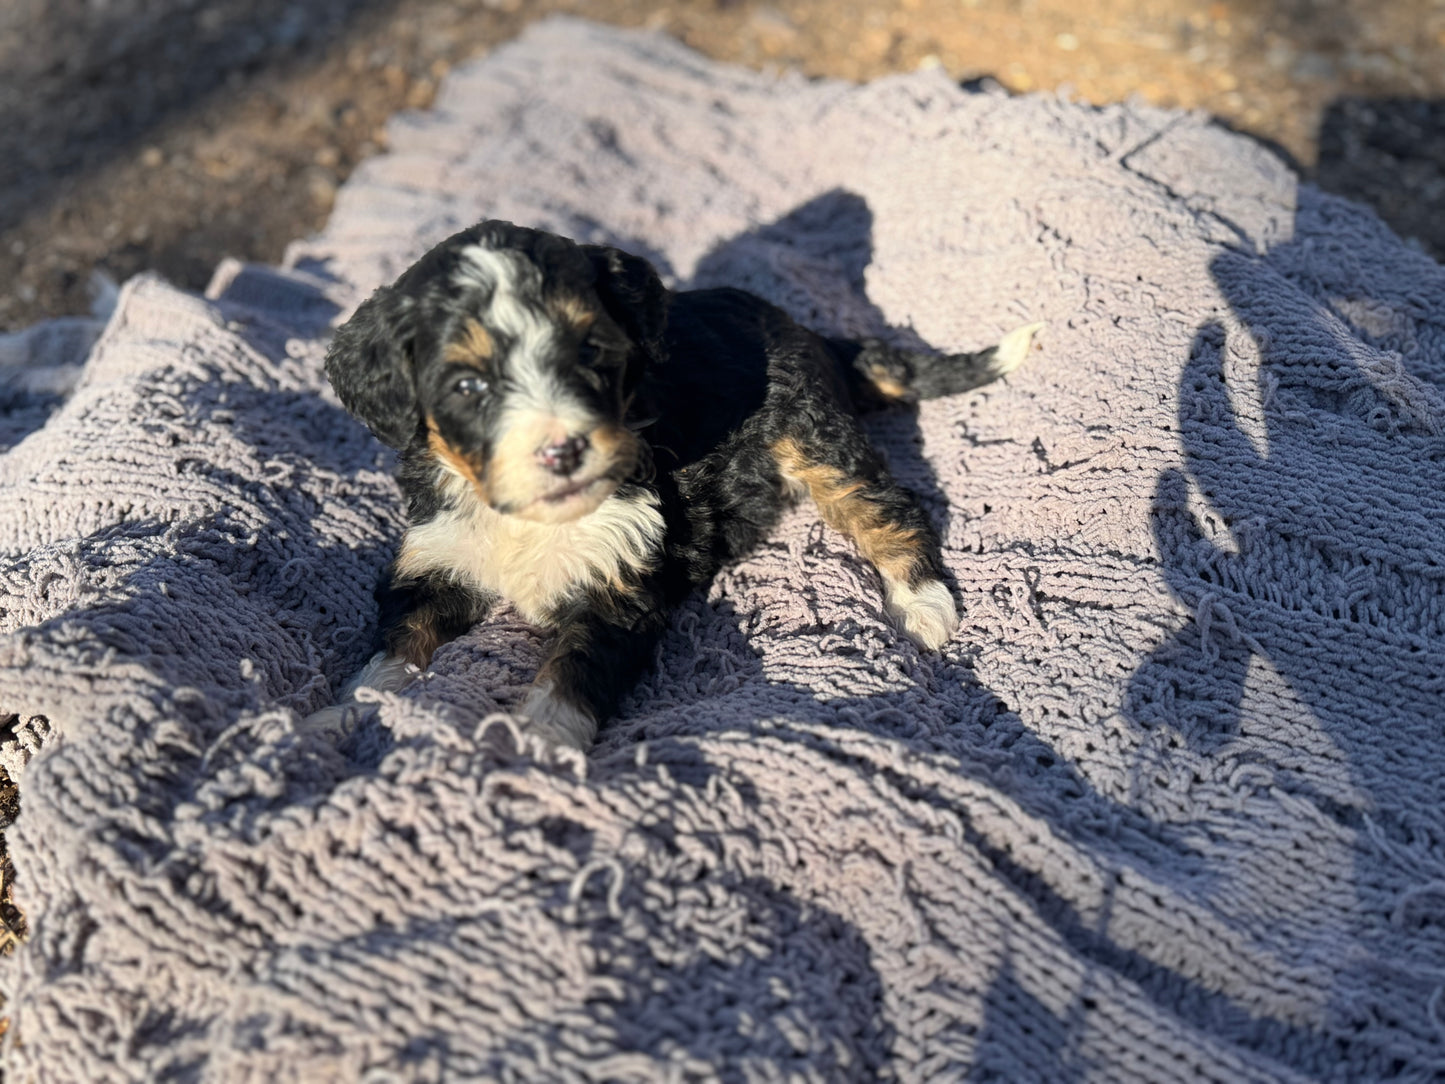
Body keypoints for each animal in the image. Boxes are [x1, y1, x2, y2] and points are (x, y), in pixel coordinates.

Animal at [319, 218, 1040, 745]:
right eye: (467, 385)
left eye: (590, 351)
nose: (563, 449)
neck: (534, 518)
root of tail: (802, 328)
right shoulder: (435, 559)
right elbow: (393, 651)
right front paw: (340, 717)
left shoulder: (619, 579)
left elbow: (574, 668)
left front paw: (538, 744)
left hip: (812, 433)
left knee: (885, 502)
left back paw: (922, 602)